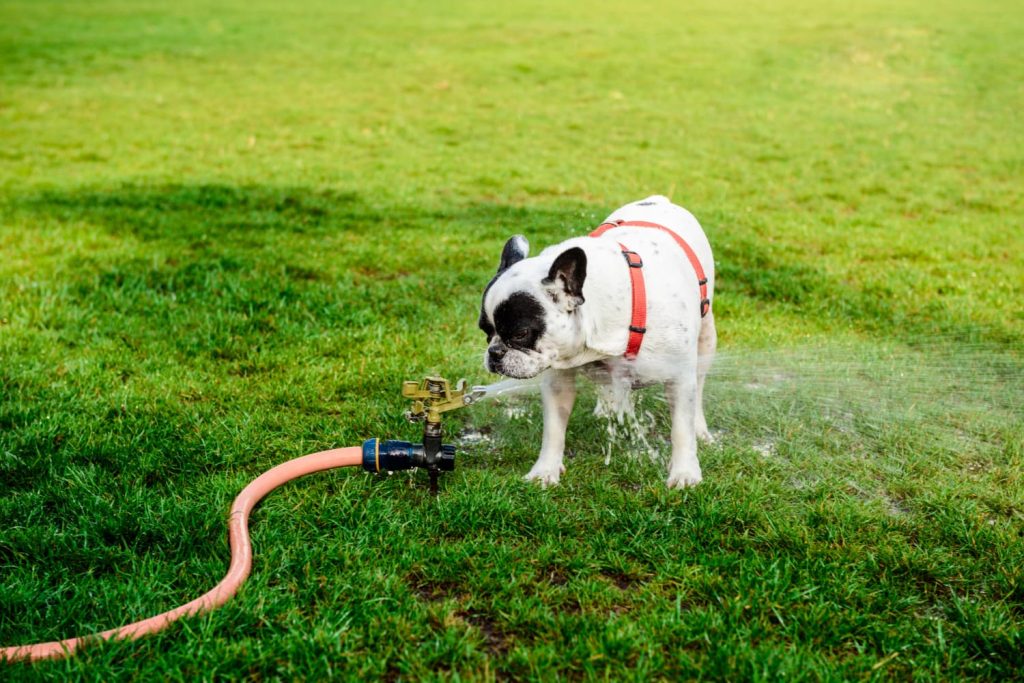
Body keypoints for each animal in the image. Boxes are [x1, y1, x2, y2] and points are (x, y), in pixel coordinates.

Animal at [477, 194, 712, 489]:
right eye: (485, 330)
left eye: (520, 334)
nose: (494, 352)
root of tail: (658, 200)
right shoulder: (559, 377)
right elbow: (554, 429)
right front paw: (545, 470)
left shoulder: (679, 377)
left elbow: (681, 428)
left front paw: (684, 472)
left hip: (706, 338)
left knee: (699, 388)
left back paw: (700, 428)